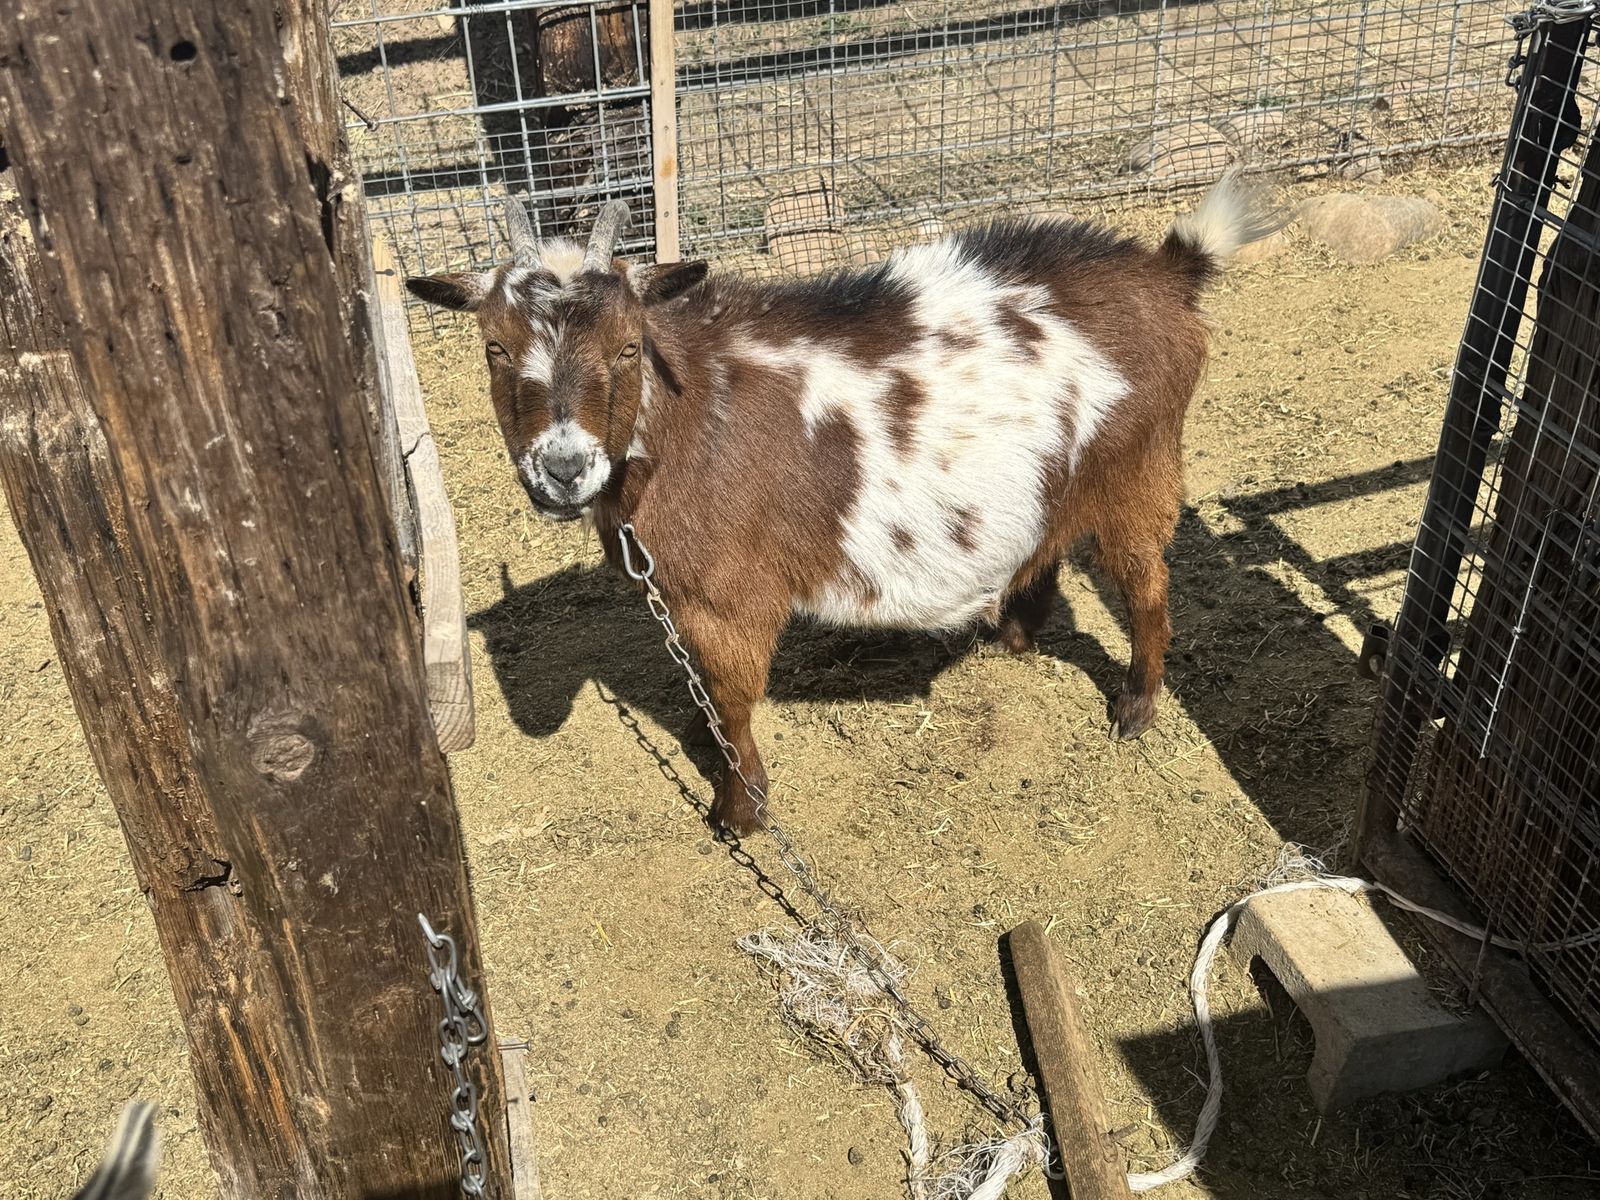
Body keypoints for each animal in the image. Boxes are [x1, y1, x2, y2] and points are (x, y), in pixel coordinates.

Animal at [408, 174, 1279, 834]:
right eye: (493, 346)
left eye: (627, 345)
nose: (562, 469)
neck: (686, 416)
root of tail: (1169, 270)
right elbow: (703, 692)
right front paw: (701, 740)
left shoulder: (730, 602)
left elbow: (734, 700)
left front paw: (740, 811)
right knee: (1050, 542)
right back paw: (1016, 634)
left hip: (1138, 468)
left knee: (1147, 584)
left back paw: (1135, 708)